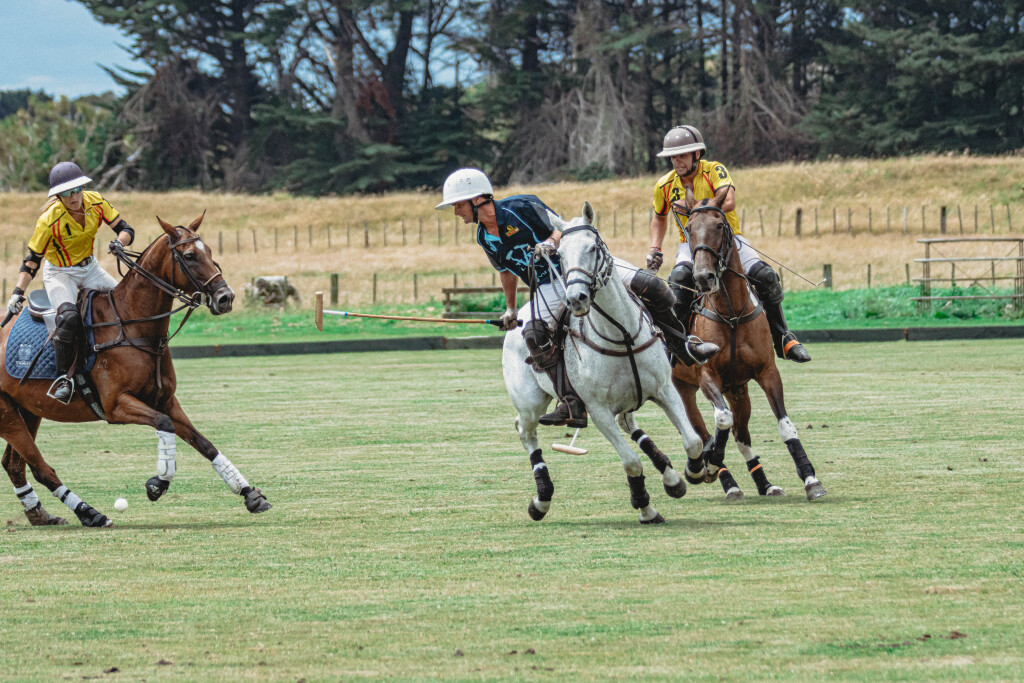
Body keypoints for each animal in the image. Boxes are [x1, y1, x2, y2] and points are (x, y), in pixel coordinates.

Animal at [0, 214, 271, 527]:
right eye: (189, 256)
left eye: (211, 251)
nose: (225, 298)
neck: (135, 324)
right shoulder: (116, 405)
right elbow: (164, 425)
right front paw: (158, 483)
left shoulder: (166, 400)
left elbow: (205, 443)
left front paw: (250, 494)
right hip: (6, 415)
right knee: (40, 467)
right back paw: (89, 513)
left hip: (28, 409)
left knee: (14, 464)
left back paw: (40, 514)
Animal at [502, 201, 704, 524]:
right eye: (559, 254)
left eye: (594, 247)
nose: (576, 298)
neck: (621, 335)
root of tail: (519, 316)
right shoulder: (597, 410)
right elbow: (631, 462)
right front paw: (645, 507)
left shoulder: (664, 389)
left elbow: (693, 441)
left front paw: (690, 473)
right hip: (529, 401)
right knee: (526, 430)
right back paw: (541, 500)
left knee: (629, 422)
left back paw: (671, 475)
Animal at [668, 189, 826, 501]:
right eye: (689, 228)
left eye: (719, 225)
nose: (703, 277)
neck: (731, 313)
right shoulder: (707, 375)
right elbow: (721, 421)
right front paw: (710, 463)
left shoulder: (767, 372)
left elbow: (785, 426)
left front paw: (811, 479)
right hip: (684, 387)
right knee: (705, 430)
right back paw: (721, 478)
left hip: (738, 390)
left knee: (741, 435)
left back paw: (764, 483)